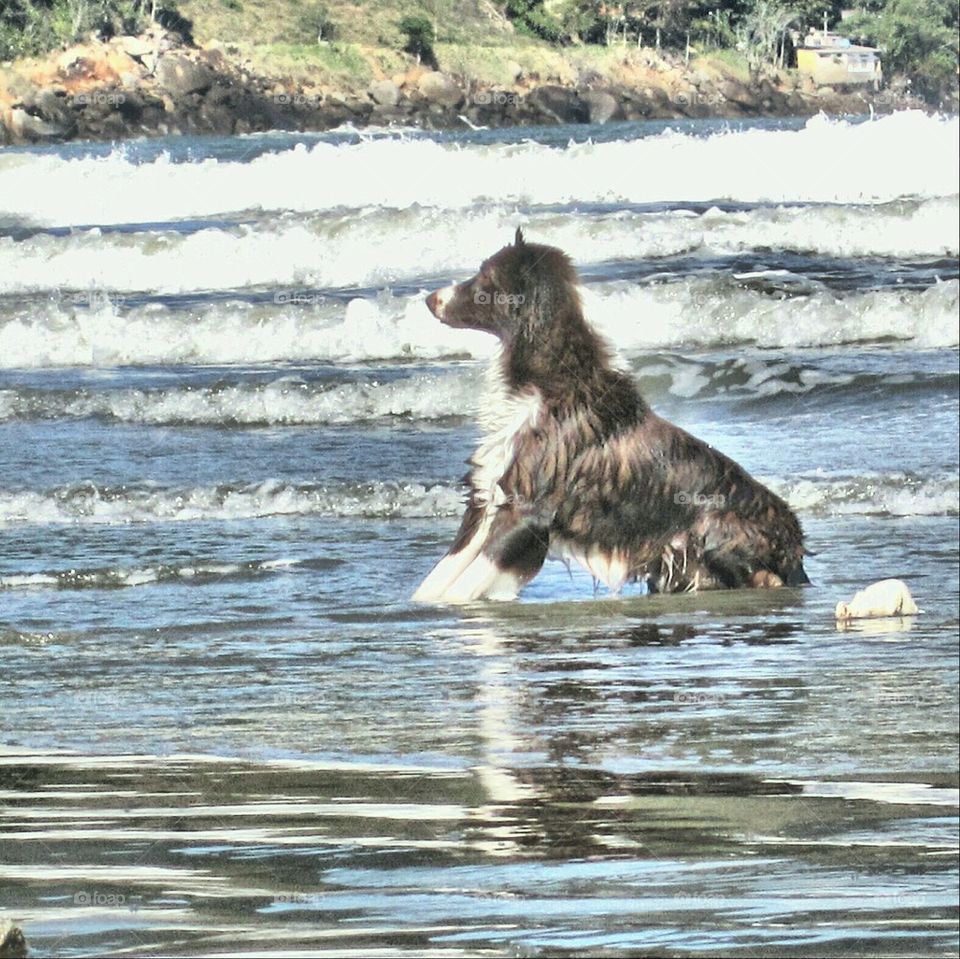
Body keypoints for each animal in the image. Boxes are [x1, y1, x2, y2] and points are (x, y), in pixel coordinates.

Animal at [412, 230, 808, 604]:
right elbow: (438, 580)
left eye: (485, 278)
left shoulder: (526, 510)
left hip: (715, 530)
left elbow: (462, 585)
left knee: (764, 578)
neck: (546, 377)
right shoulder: (488, 497)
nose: (430, 300)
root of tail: (797, 551)